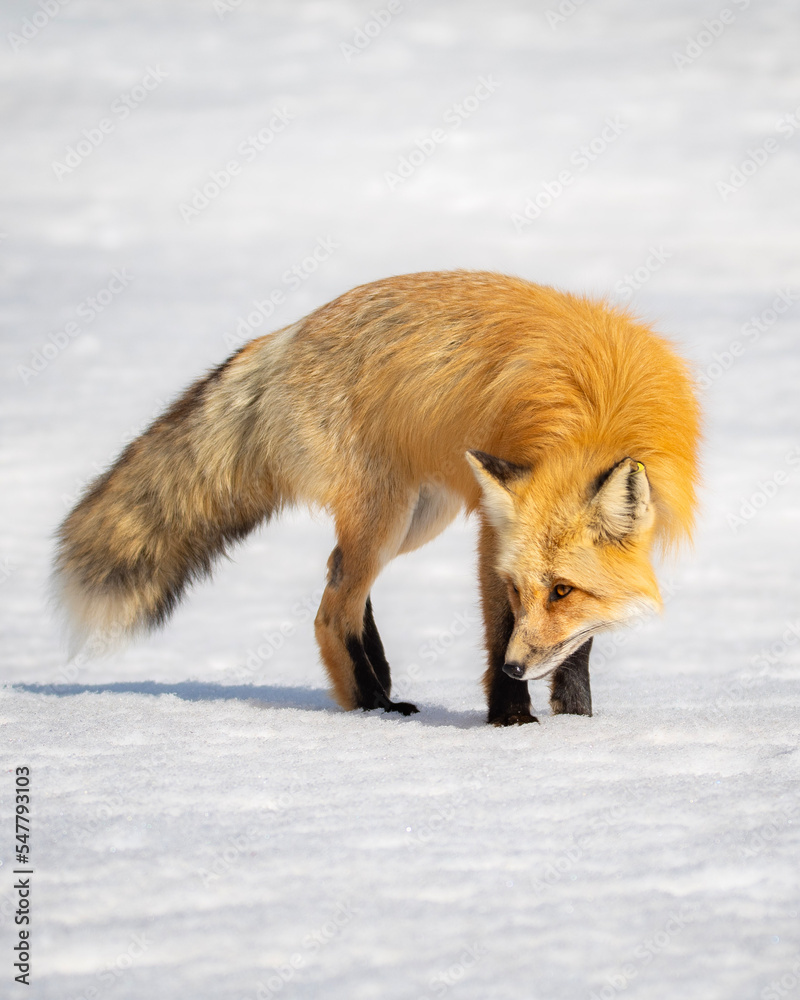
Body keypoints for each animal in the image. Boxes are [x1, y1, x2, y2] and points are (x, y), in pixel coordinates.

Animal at [53, 271, 700, 726]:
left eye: (563, 590)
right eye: (518, 590)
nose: (517, 668)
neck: (594, 414)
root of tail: (286, 333)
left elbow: (578, 644)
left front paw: (577, 720)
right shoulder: (493, 544)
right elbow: (498, 629)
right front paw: (510, 718)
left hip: (420, 516)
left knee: (336, 574)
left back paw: (380, 678)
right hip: (385, 515)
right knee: (329, 609)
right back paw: (372, 706)